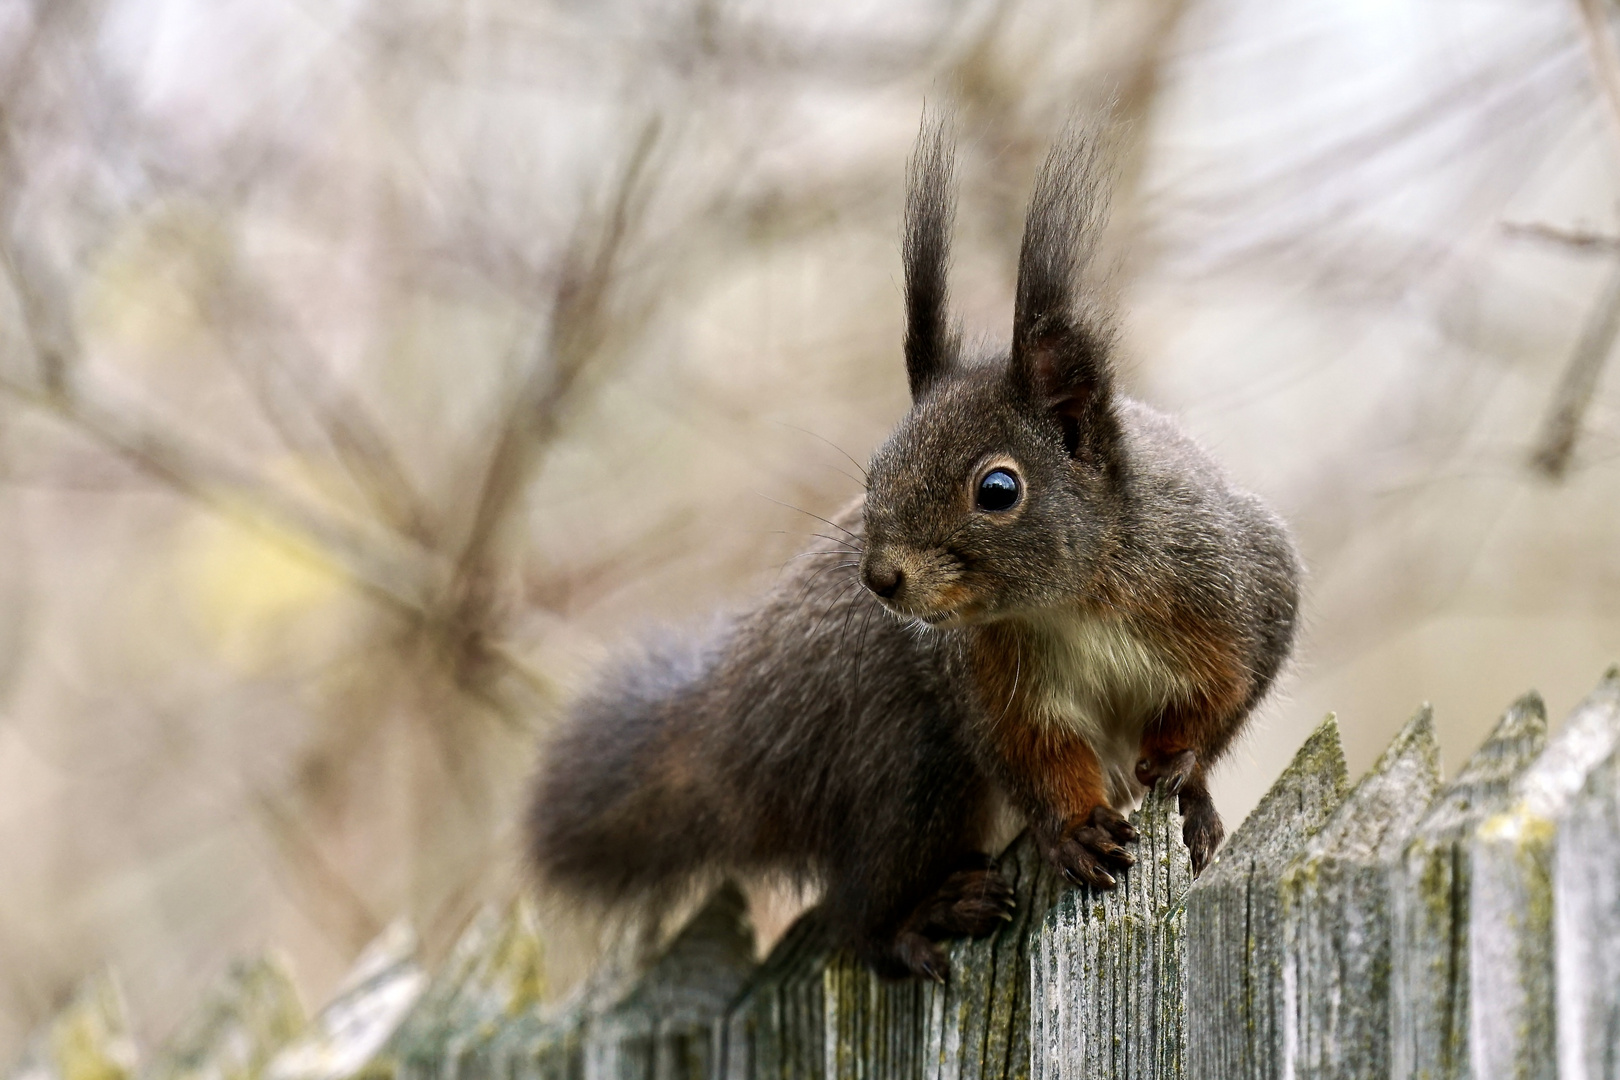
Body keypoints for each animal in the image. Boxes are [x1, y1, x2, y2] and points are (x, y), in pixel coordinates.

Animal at [524, 114, 1296, 984]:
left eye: (998, 488)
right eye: (875, 470)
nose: (880, 578)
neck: (1069, 604)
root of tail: (729, 733)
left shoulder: (1243, 585)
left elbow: (1227, 703)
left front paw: (1187, 778)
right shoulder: (987, 685)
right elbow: (1036, 757)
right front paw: (1076, 829)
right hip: (906, 767)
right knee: (857, 916)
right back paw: (924, 916)